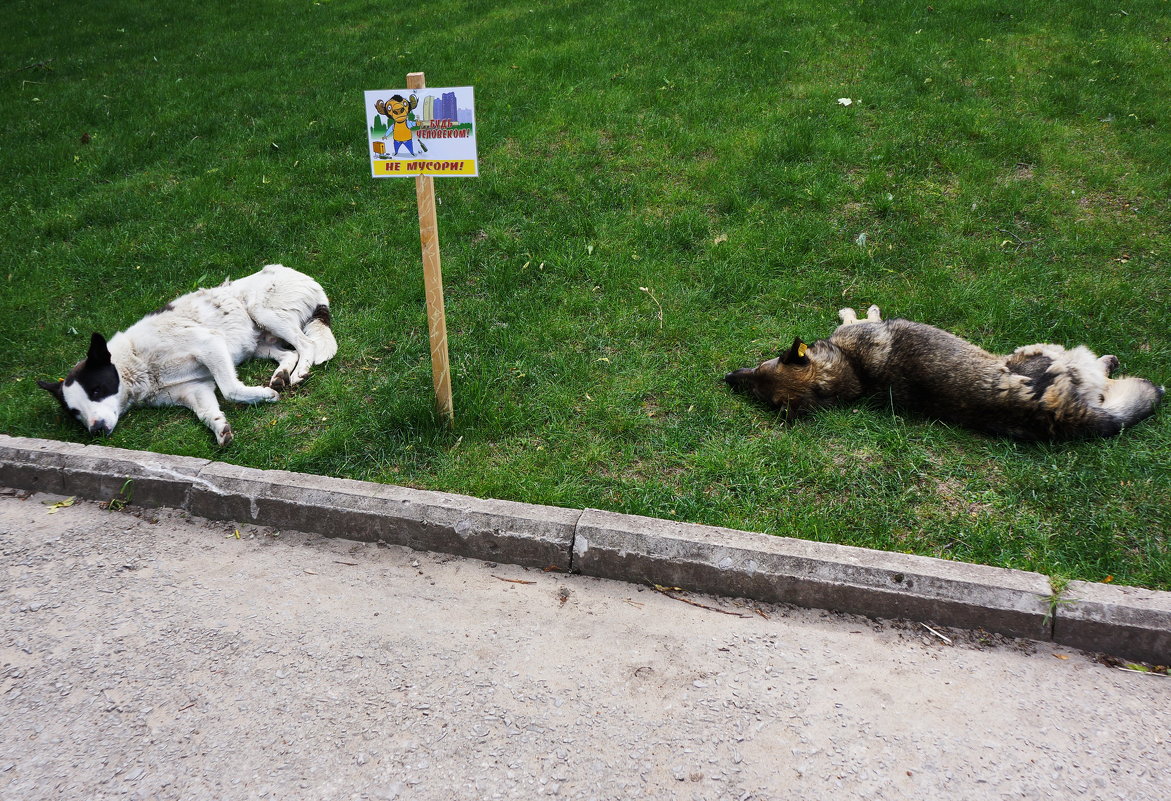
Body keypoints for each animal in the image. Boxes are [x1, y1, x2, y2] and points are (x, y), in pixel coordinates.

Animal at [38, 265, 337, 447]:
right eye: (75, 413)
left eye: (97, 391)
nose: (96, 430)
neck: (138, 366)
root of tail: (304, 277)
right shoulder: (195, 389)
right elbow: (207, 413)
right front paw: (220, 428)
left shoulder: (210, 344)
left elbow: (229, 390)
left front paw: (263, 396)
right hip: (258, 343)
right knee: (288, 353)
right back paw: (281, 375)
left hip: (262, 312)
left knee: (306, 344)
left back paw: (299, 373)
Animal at [721, 306, 1161, 440]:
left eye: (761, 367)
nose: (728, 378)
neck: (853, 369)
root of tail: (1057, 413)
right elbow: (859, 316)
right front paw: (860, 310)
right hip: (1041, 350)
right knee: (1101, 374)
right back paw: (1111, 363)